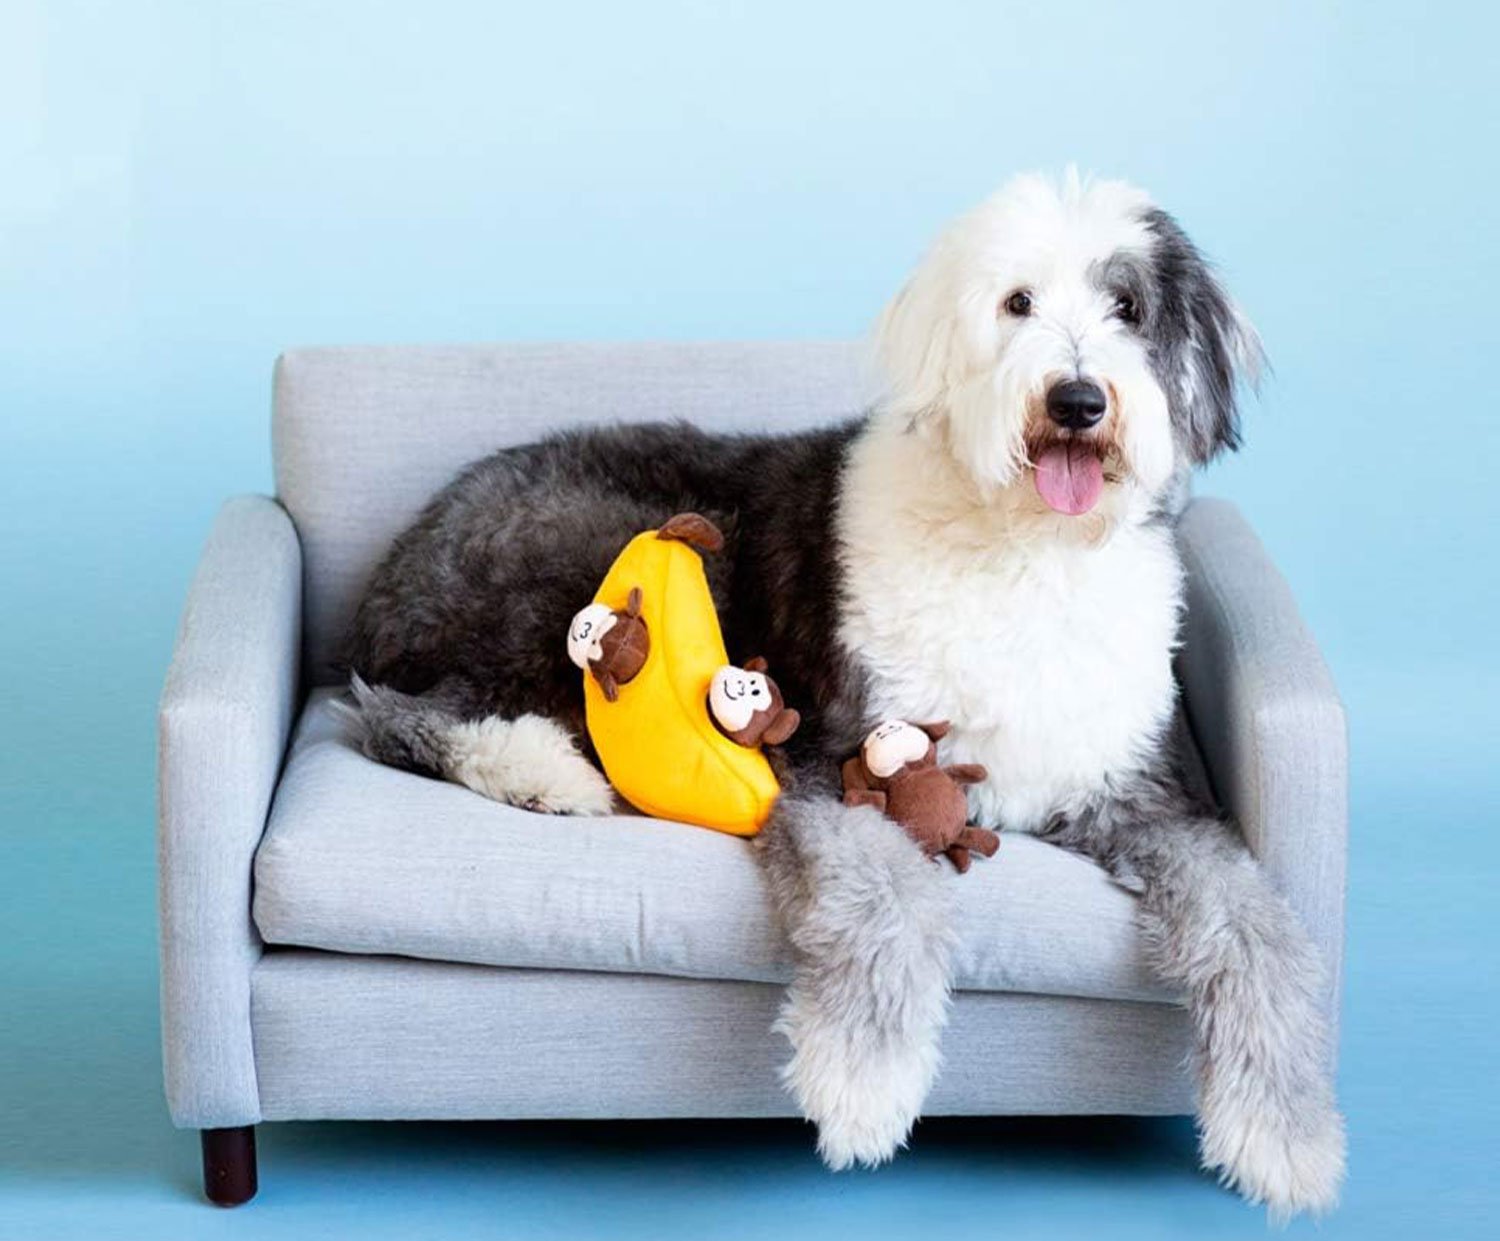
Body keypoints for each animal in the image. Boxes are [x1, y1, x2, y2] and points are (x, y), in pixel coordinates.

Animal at [343, 169, 1350, 1218]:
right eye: (1018, 303)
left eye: (1128, 307)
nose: (1077, 399)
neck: (1026, 547)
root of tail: (399, 557)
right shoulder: (842, 756)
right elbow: (886, 896)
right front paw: (863, 1084)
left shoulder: (1138, 792)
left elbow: (1254, 922)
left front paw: (1287, 1137)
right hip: (609, 560)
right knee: (399, 713)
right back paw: (543, 771)